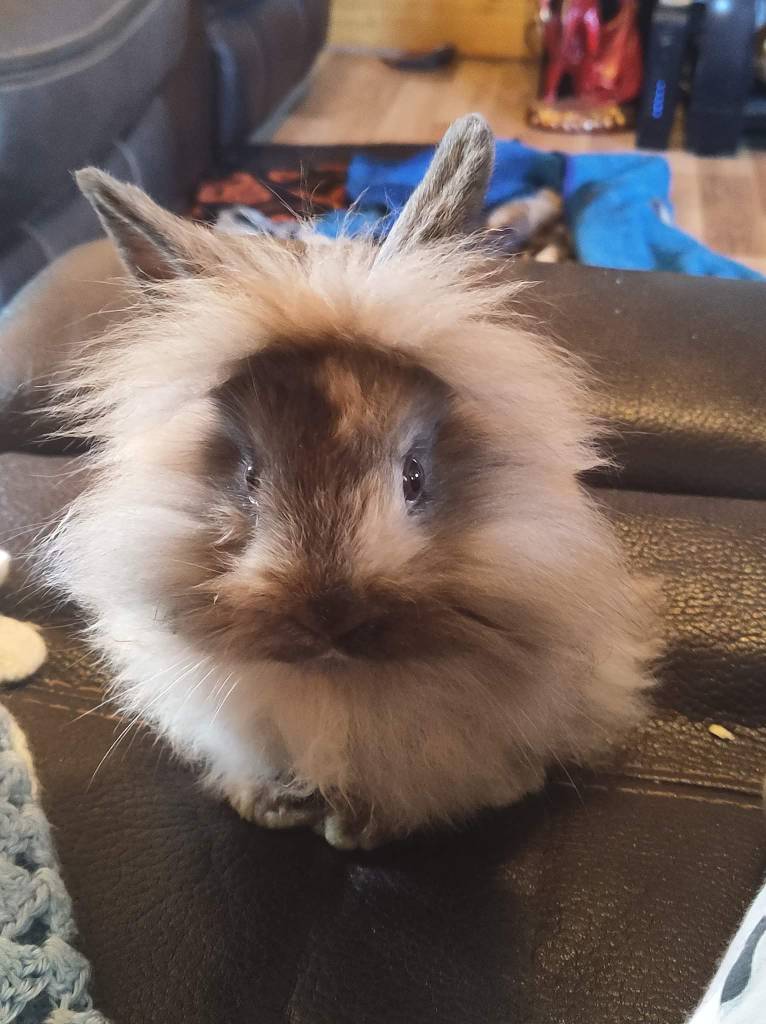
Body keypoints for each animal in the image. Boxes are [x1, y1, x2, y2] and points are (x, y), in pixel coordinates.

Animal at [46, 115, 658, 849]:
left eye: (415, 476)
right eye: (249, 474)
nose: (331, 616)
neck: (336, 683)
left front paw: (358, 829)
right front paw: (271, 805)